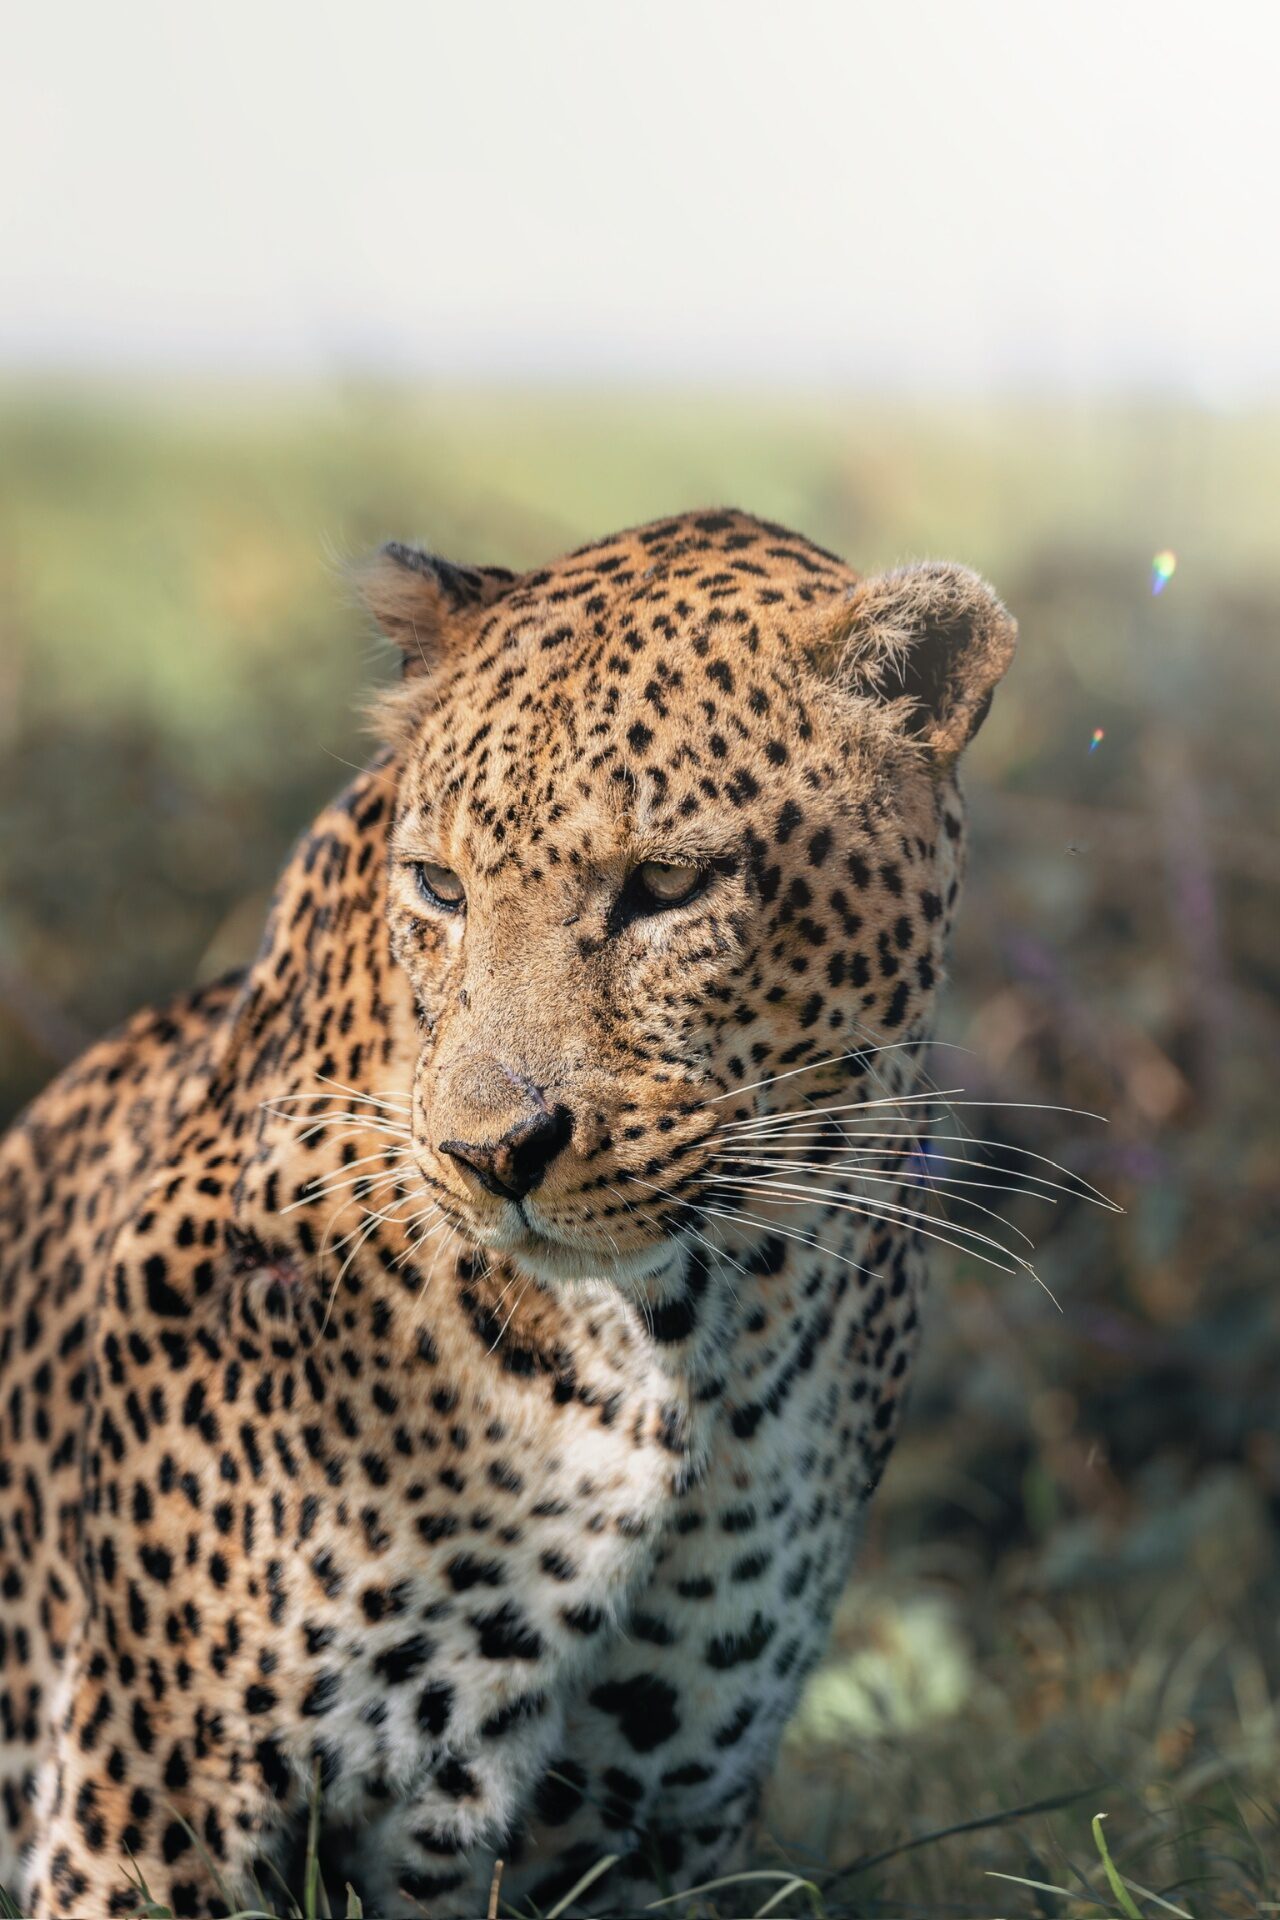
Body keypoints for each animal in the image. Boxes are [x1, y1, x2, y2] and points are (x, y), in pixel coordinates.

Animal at [0, 507, 1016, 1917]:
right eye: (438, 888)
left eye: (667, 886)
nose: (490, 1154)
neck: (671, 1344)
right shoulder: (155, 1800)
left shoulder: (653, 1830)